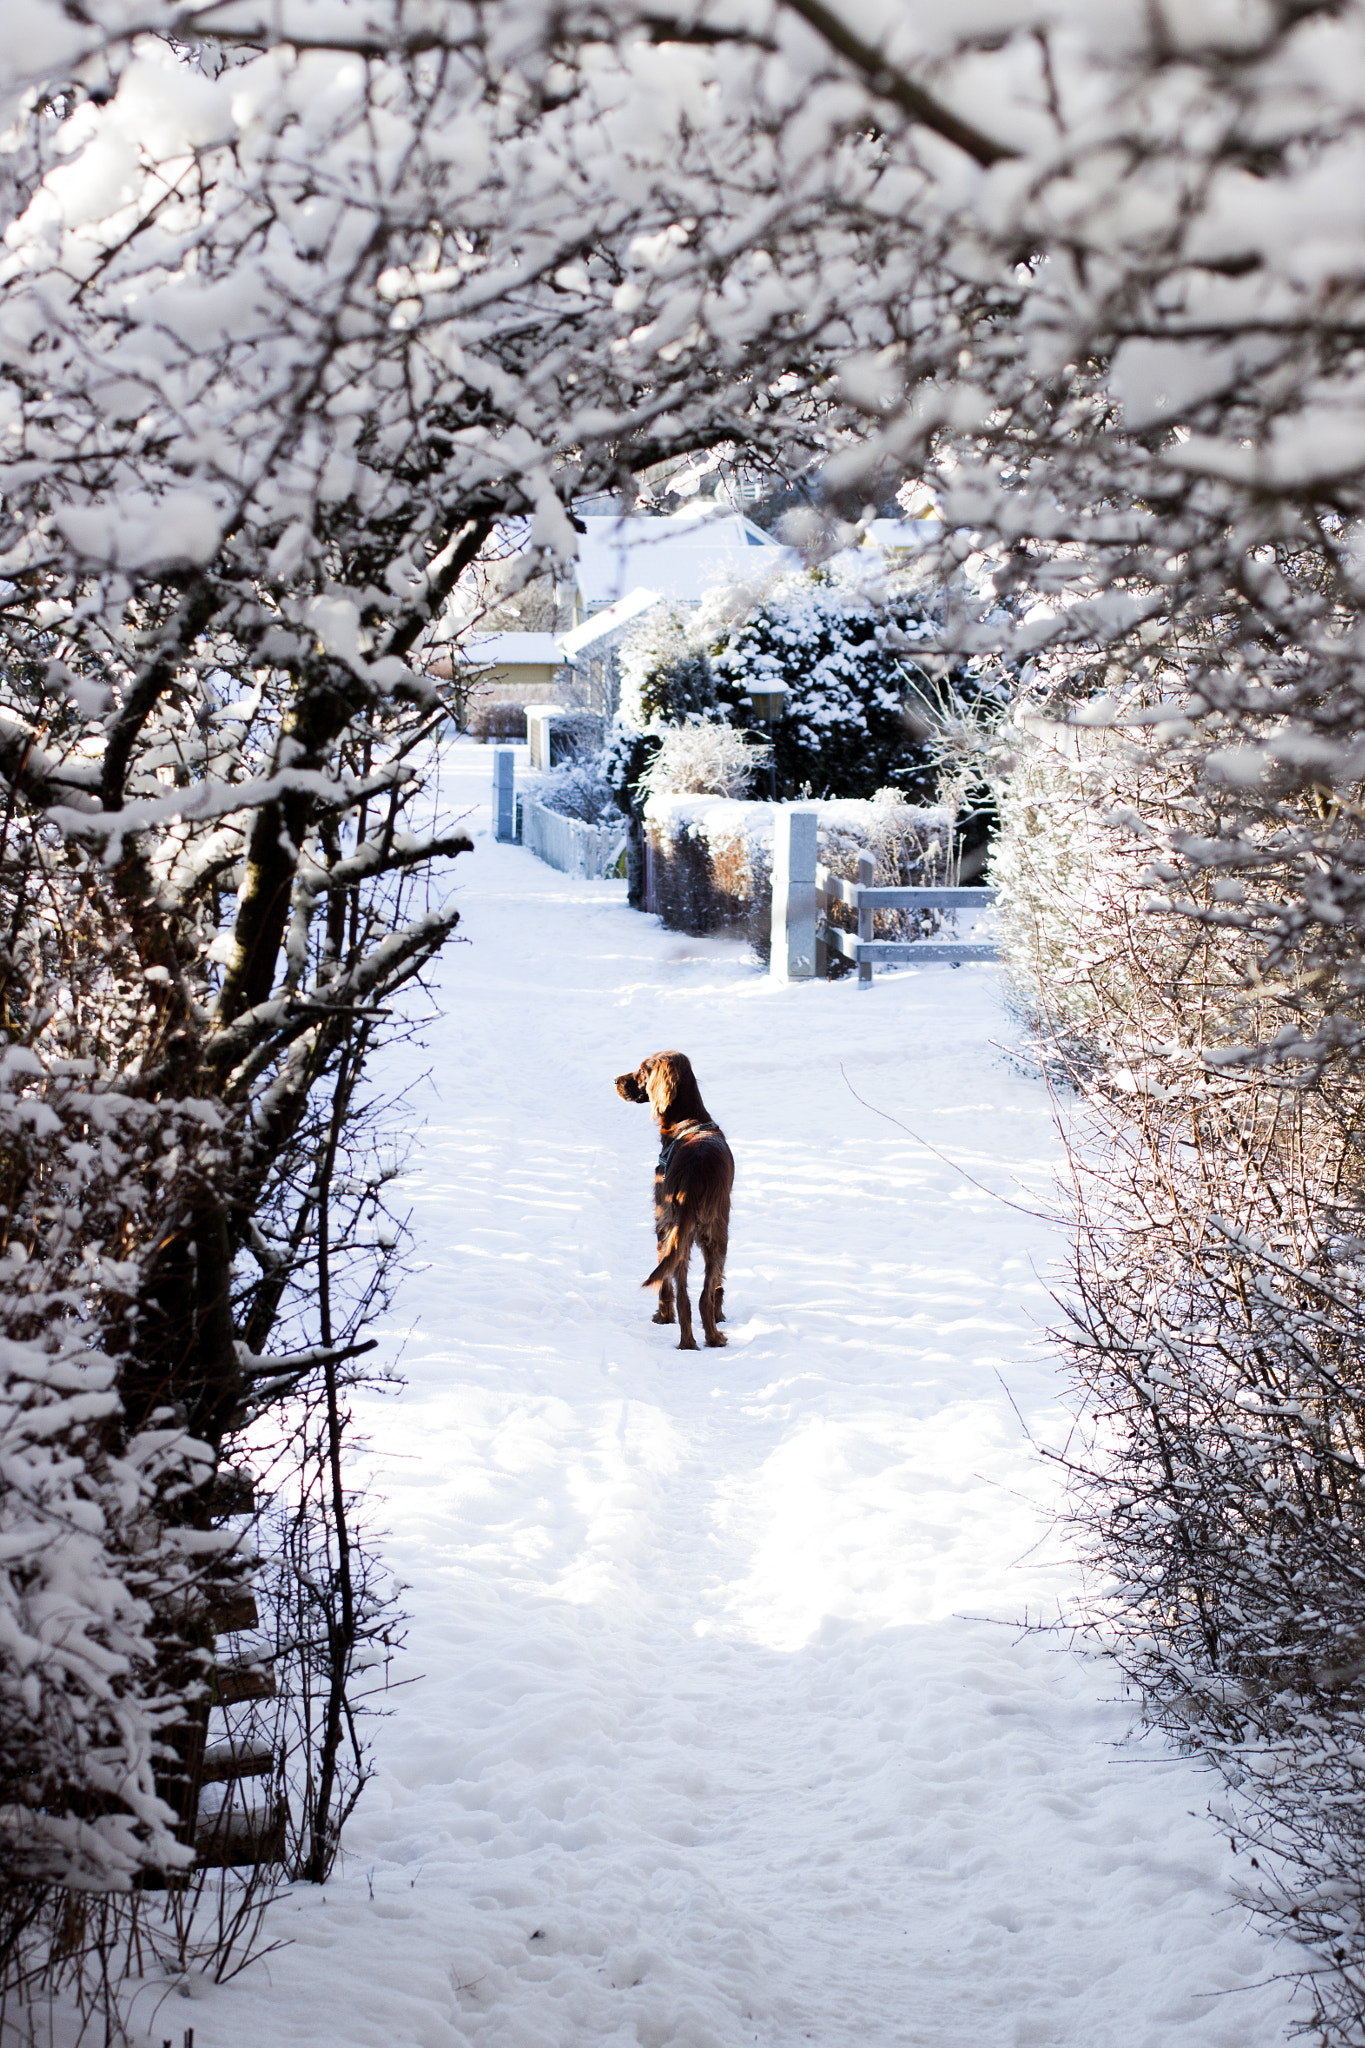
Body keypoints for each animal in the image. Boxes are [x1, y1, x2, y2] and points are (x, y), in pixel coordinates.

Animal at [618, 1056, 732, 1343]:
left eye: (643, 1070)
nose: (615, 1081)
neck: (689, 1122)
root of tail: (694, 1173)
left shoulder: (661, 1219)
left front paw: (663, 1317)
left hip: (679, 1229)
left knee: (683, 1293)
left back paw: (688, 1341)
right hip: (714, 1233)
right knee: (704, 1294)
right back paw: (712, 1338)